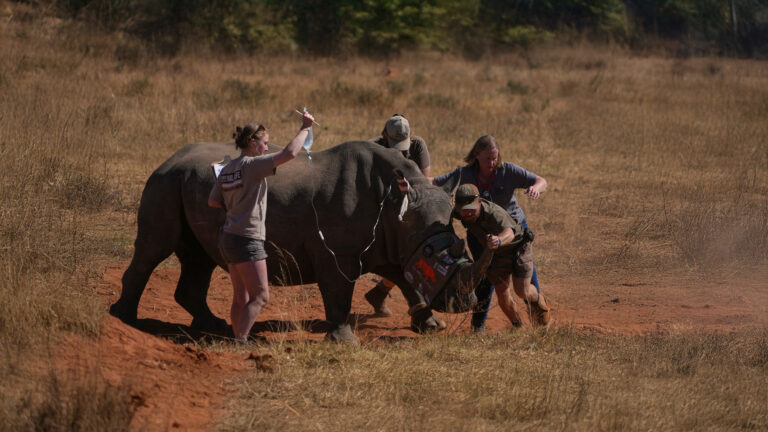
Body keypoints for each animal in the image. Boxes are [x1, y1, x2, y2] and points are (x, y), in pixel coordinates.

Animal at [109, 140, 491, 343]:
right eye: (434, 253)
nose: (464, 304)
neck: (398, 205)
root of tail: (169, 158)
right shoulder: (340, 253)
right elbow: (339, 293)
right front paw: (345, 342)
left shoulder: (394, 244)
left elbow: (408, 280)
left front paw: (431, 326)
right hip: (165, 181)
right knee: (154, 248)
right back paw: (125, 320)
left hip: (185, 182)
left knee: (199, 257)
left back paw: (212, 326)